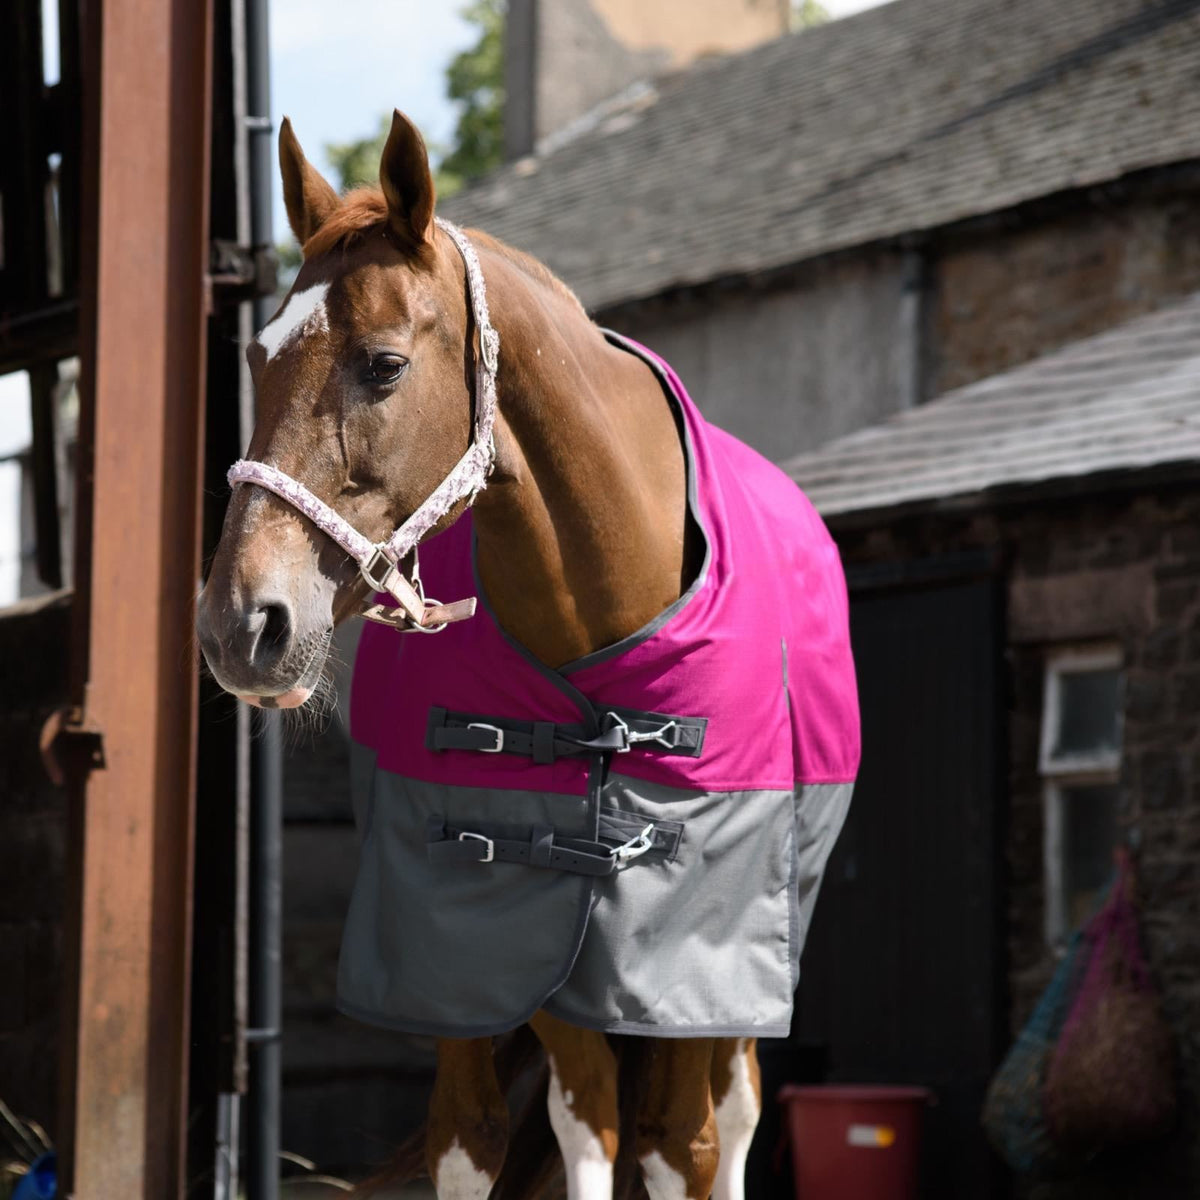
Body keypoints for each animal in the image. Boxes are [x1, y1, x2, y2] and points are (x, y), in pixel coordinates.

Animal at [196, 110, 858, 1199]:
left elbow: (681, 1144)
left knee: (721, 1121)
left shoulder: (687, 966)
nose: (240, 624)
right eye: (254, 357)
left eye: (383, 363)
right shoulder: (493, 940)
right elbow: (535, 1132)